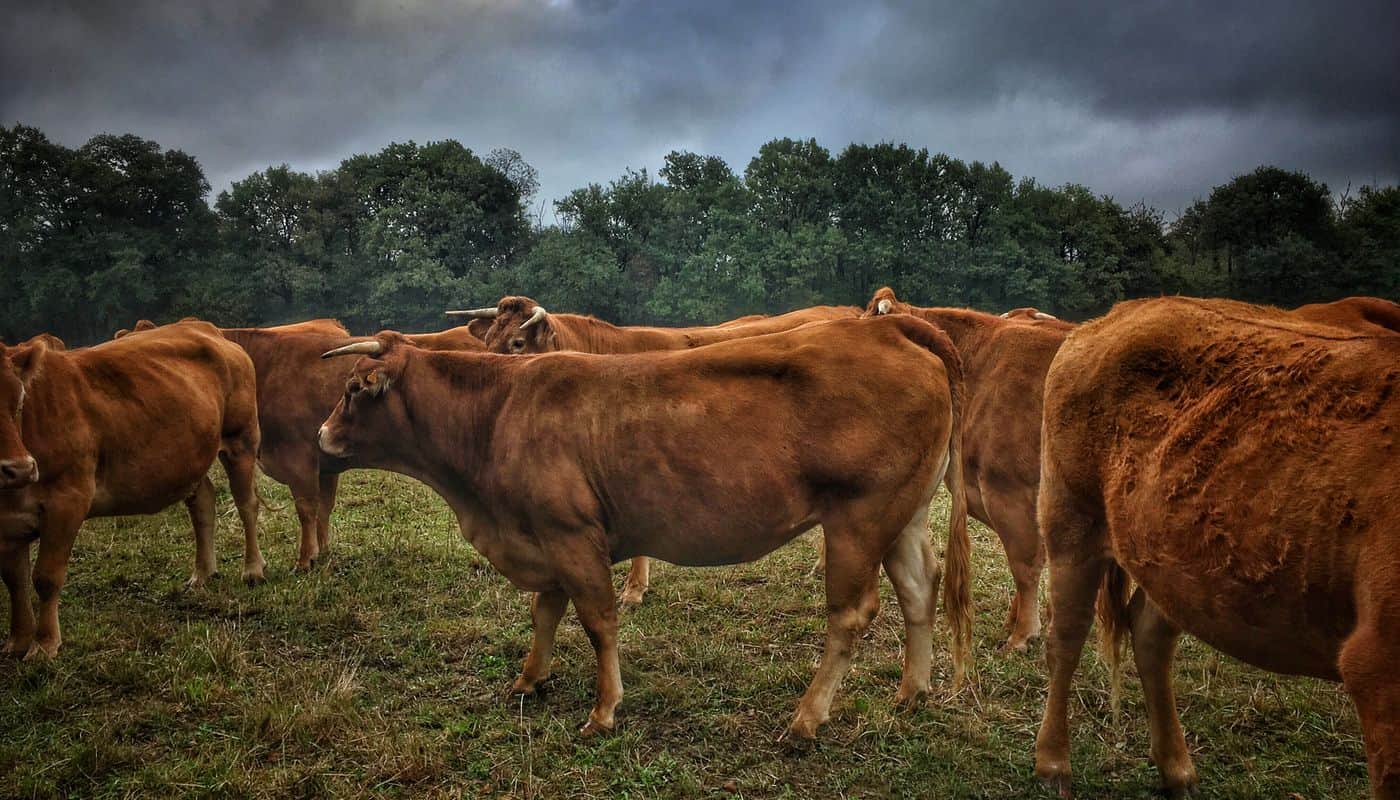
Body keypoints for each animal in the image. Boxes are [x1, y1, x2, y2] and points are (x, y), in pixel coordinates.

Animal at [0, 320, 263, 660]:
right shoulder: (8, 523)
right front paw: (17, 641)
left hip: (240, 439)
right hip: (190, 458)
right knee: (203, 501)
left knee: (247, 505)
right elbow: (14, 580)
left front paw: (44, 644)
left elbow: (45, 577)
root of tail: (200, 325)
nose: (19, 469)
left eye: (19, 401)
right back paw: (203, 573)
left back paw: (253, 569)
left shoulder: (67, 501)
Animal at [1032, 296, 1400, 798]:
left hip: (1171, 559)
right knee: (1066, 636)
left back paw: (1177, 771)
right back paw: (1054, 764)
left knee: (1149, 632)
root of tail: (1107, 318)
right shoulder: (1377, 668)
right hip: (1072, 523)